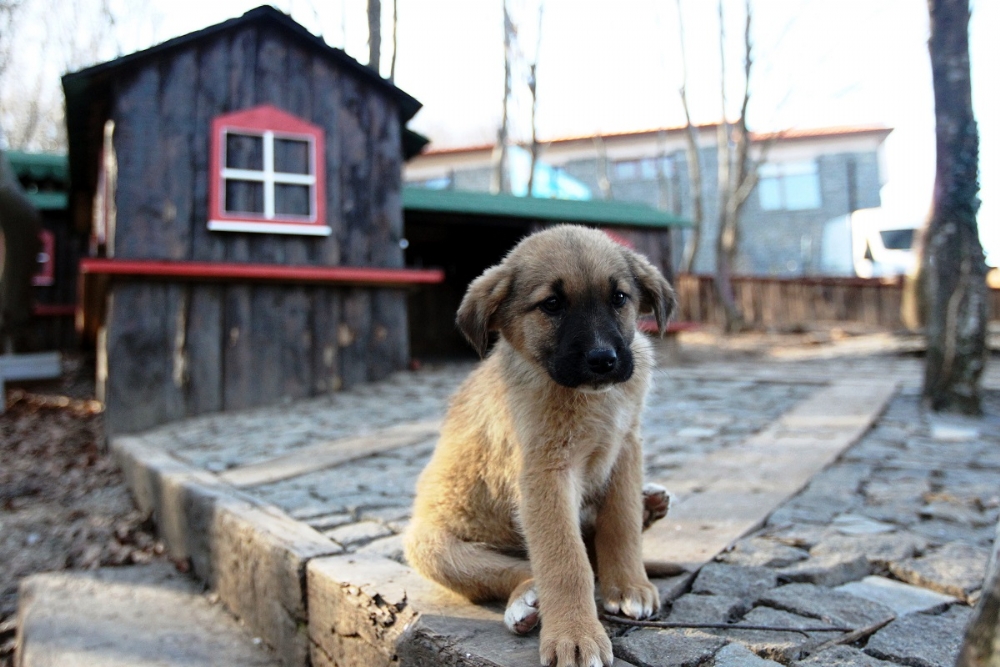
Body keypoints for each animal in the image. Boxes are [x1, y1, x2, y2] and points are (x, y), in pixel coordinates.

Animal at [405, 225, 677, 667]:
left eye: (619, 298)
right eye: (551, 304)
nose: (603, 359)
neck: (588, 399)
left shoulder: (625, 446)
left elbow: (620, 523)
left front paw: (630, 586)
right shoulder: (545, 474)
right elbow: (565, 560)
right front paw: (575, 635)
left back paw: (649, 505)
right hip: (430, 546)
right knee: (519, 571)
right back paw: (526, 602)